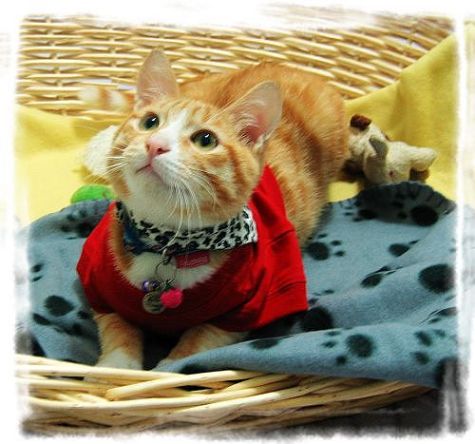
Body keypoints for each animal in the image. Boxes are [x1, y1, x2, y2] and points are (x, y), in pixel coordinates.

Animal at [77, 49, 348, 371]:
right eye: (150, 122)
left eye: (205, 140)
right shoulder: (98, 284)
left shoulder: (246, 308)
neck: (165, 243)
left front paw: (166, 369)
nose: (155, 144)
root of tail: (295, 69)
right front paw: (117, 367)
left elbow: (197, 343)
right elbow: (116, 325)